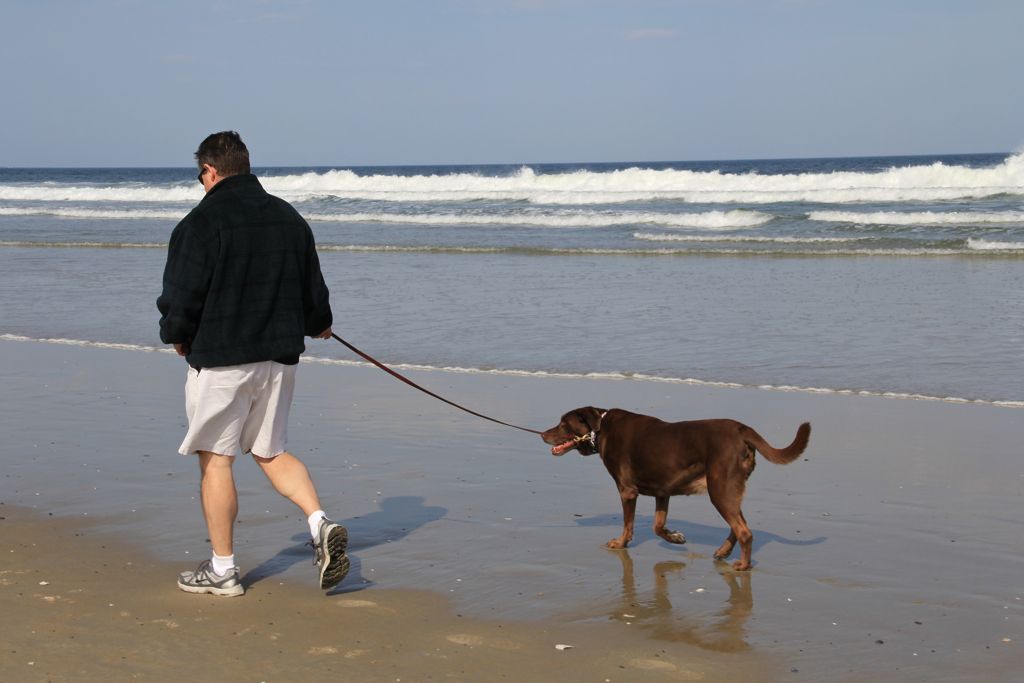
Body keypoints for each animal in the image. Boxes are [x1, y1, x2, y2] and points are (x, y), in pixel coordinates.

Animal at [540, 405, 811, 573]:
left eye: (563, 424)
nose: (542, 434)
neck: (600, 429)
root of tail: (742, 430)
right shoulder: (663, 491)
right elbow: (657, 525)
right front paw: (675, 537)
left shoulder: (627, 490)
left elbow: (629, 524)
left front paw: (621, 542)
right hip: (729, 488)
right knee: (739, 524)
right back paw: (724, 551)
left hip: (720, 487)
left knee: (744, 531)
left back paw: (743, 565)